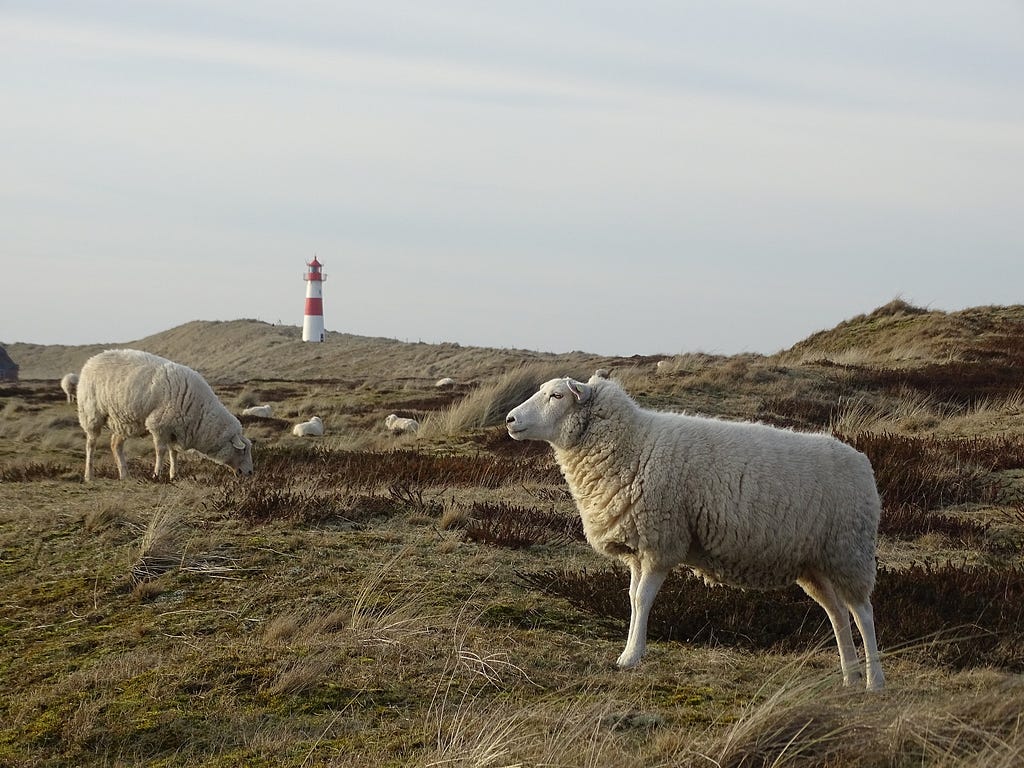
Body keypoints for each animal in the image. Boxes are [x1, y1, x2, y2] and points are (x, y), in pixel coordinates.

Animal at [77, 348, 253, 481]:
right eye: (243, 450)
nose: (251, 473)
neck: (201, 414)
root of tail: (91, 360)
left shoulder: (174, 430)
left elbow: (174, 453)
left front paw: (173, 475)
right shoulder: (159, 425)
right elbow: (161, 451)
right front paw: (157, 475)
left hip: (124, 421)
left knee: (115, 444)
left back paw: (125, 475)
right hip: (91, 413)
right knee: (90, 444)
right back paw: (89, 475)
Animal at [507, 376, 884, 696]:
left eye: (557, 396)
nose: (510, 419)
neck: (632, 445)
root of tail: (863, 462)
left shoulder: (661, 542)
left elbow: (642, 599)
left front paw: (631, 657)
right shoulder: (639, 547)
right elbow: (631, 598)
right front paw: (629, 650)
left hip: (849, 551)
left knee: (863, 613)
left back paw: (873, 680)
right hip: (815, 562)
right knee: (838, 612)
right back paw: (849, 676)